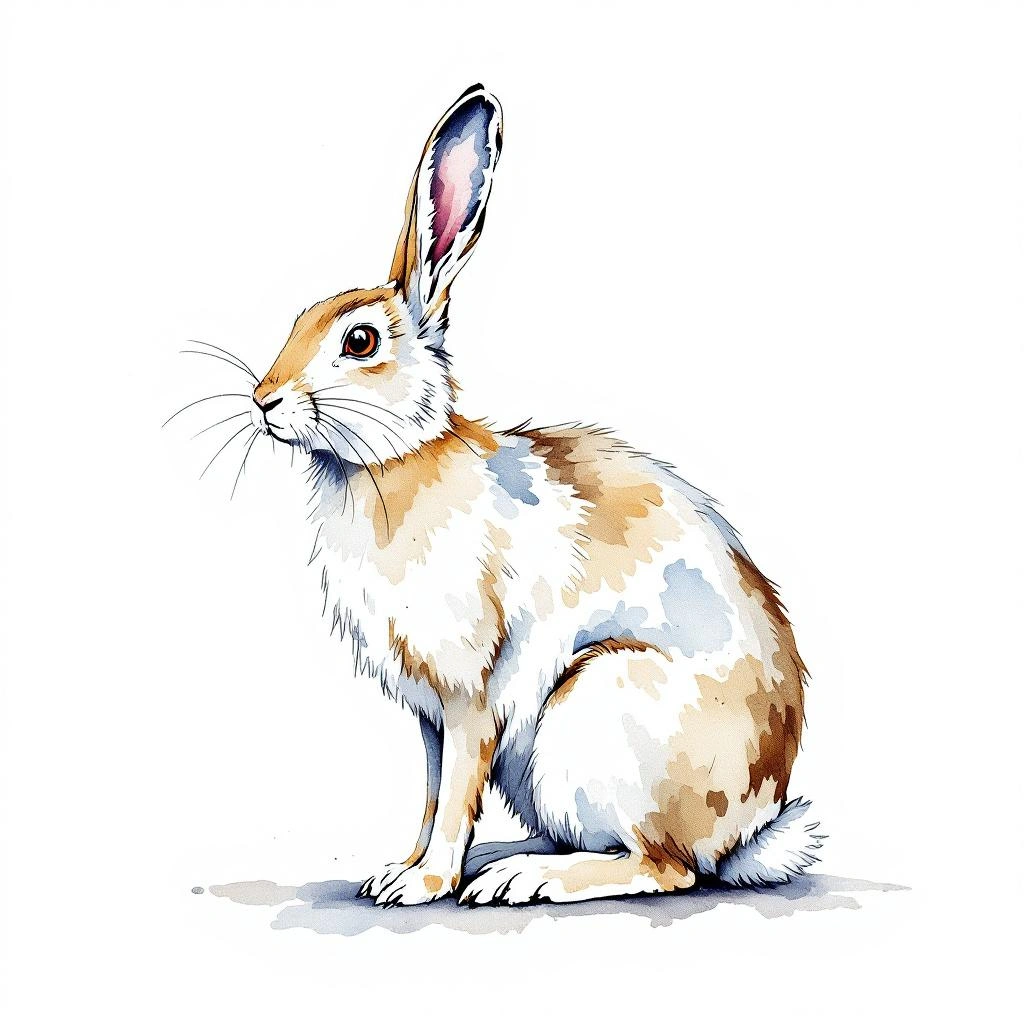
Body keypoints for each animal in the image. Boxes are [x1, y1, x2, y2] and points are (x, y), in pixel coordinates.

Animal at [243, 85, 823, 906]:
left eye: (359, 342)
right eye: (298, 318)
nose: (264, 400)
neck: (400, 456)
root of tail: (750, 829)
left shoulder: (468, 695)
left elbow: (456, 794)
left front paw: (424, 885)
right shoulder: (428, 715)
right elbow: (431, 792)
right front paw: (397, 871)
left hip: (597, 708)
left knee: (665, 866)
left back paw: (524, 878)